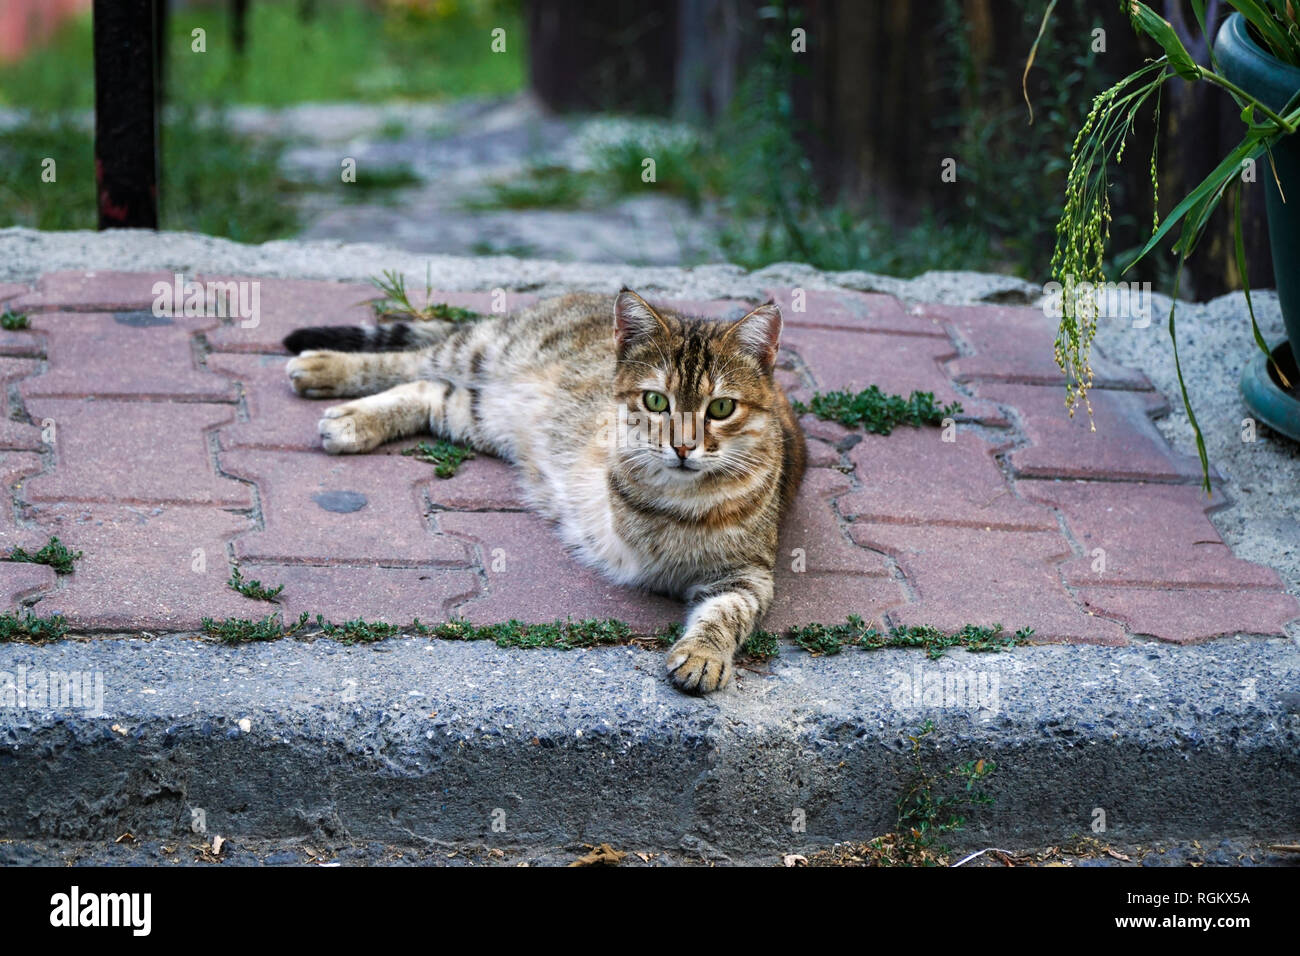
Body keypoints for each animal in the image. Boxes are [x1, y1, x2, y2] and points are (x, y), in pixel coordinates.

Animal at [283, 287, 800, 691]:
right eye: (656, 401)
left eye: (721, 408)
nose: (683, 446)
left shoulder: (748, 575)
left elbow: (727, 613)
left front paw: (704, 653)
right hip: (477, 351)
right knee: (411, 361)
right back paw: (325, 370)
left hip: (483, 415)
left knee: (432, 391)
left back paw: (356, 417)